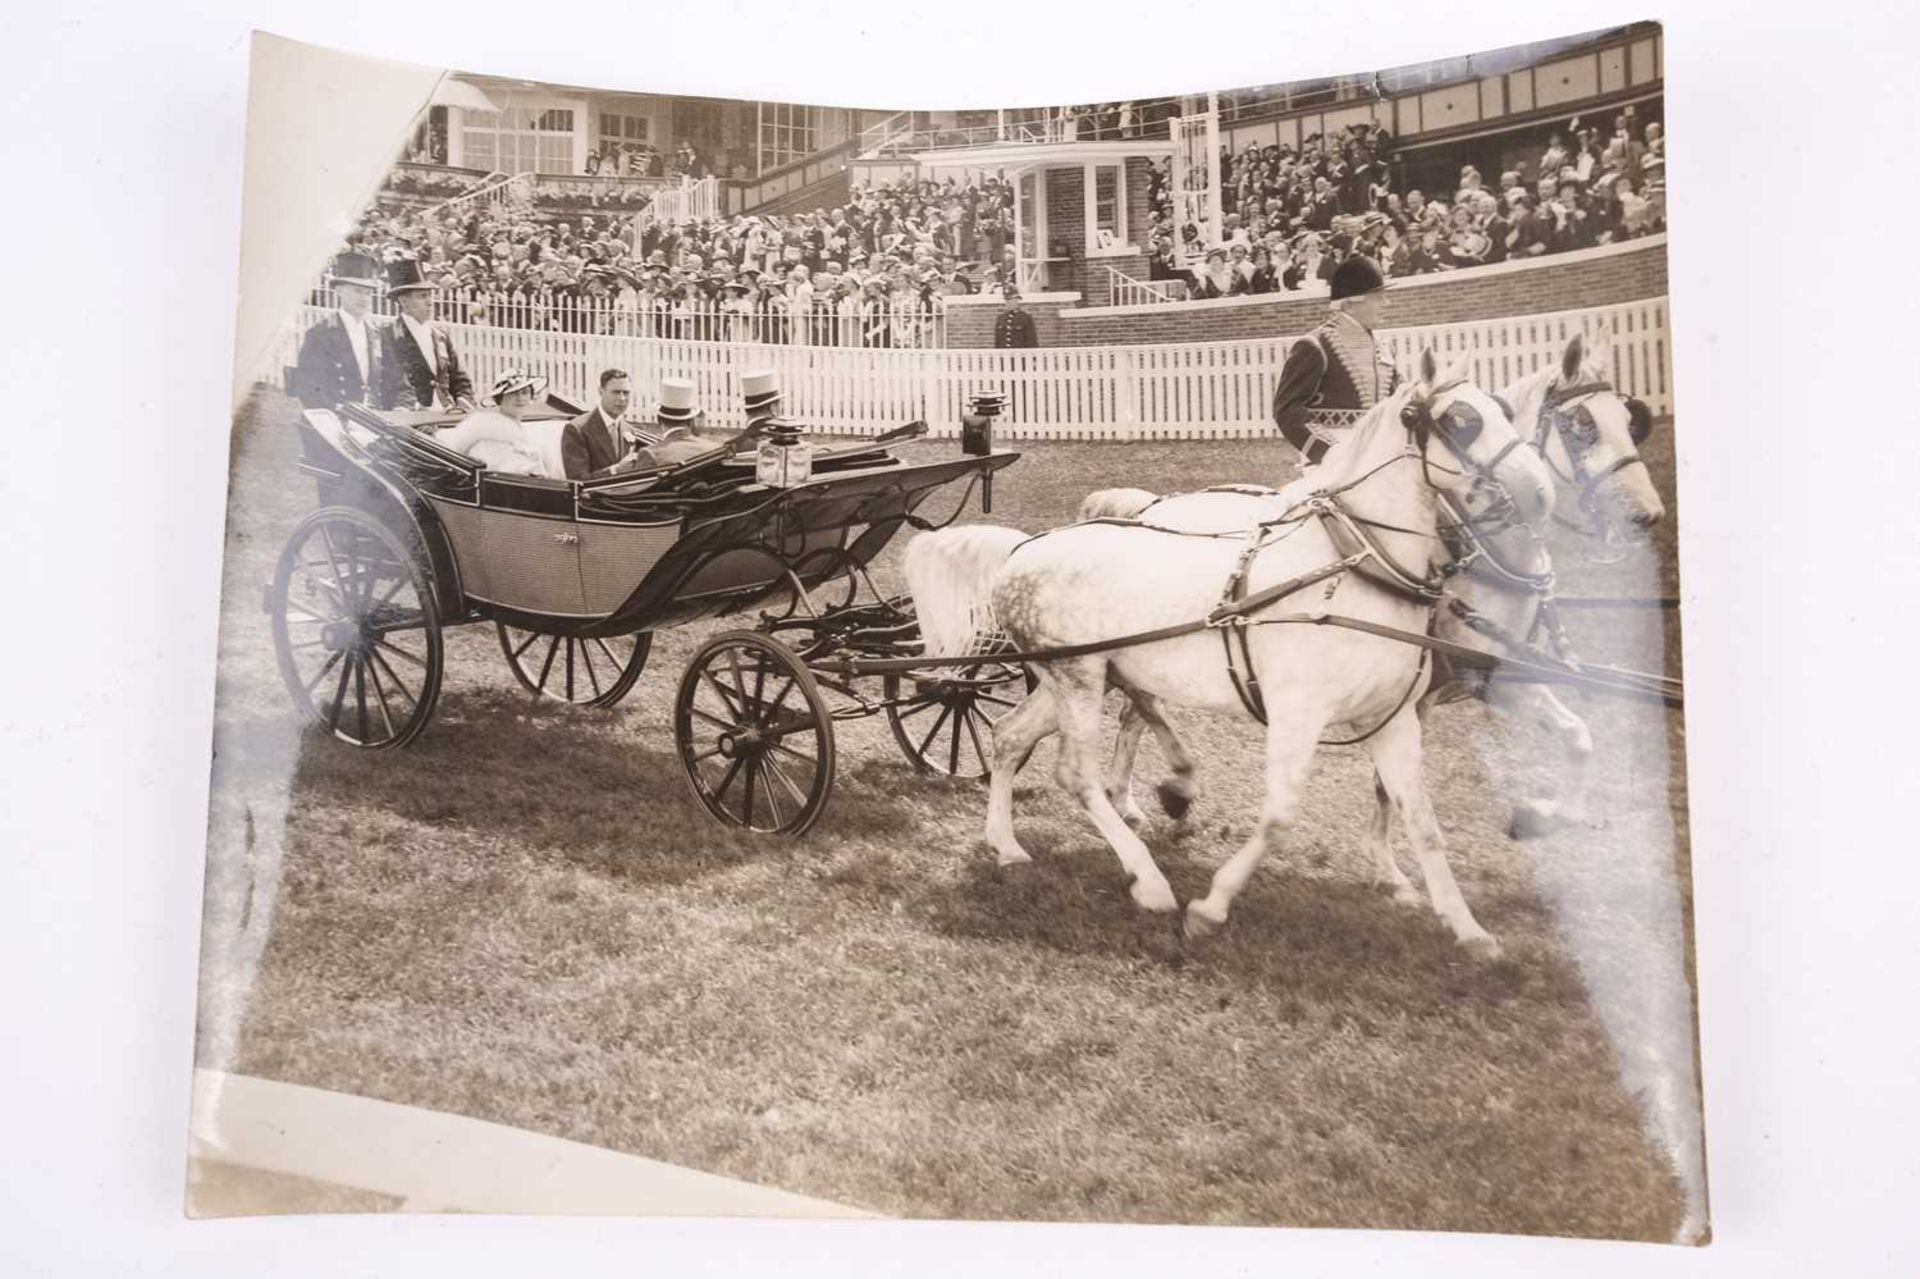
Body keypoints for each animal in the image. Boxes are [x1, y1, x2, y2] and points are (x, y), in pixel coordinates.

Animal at [906, 353, 1551, 952]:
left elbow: (1422, 819)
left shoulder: (1391, 718)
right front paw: (1211, 906)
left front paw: (1466, 926)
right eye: (1461, 420)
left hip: (1083, 676)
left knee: (1010, 738)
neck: (1355, 568)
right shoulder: (1298, 715)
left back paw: (1007, 844)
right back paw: (1149, 878)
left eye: (1503, 409)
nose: (1539, 492)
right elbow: (1280, 816)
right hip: (1079, 677)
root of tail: (1026, 546)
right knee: (1077, 775)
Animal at [1098, 328, 1666, 844]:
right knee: (1138, 704)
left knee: (1136, 707)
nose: (1647, 514)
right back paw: (1157, 794)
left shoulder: (1485, 678)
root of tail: (1153, 505)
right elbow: (1393, 782)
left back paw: (1132, 800)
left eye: (1628, 420)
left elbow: (1577, 736)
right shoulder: (1457, 683)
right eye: (1580, 424)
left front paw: (1545, 815)